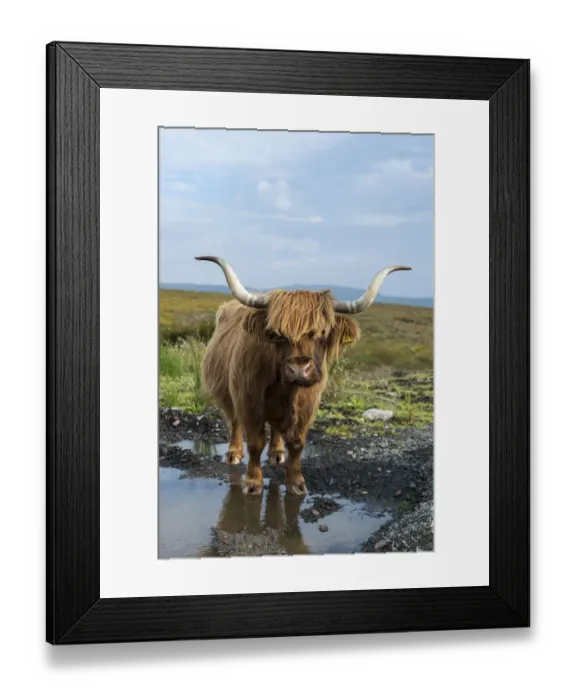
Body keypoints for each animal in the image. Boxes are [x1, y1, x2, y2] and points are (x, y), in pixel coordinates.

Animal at [196, 256, 411, 496]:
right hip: (227, 392)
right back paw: (234, 453)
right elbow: (254, 442)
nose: (299, 369)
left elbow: (297, 443)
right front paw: (253, 483)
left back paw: (276, 453)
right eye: (276, 334)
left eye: (322, 333)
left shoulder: (307, 403)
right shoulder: (248, 399)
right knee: (234, 421)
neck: (284, 388)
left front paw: (297, 483)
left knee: (275, 429)